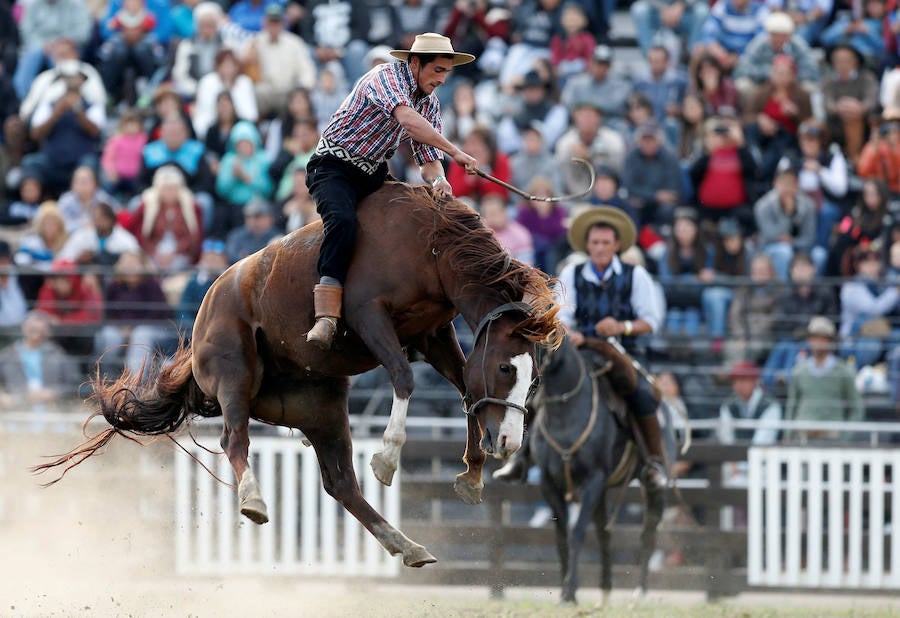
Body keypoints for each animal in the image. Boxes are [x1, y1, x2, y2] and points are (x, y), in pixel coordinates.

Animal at [35, 182, 562, 569]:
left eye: (533, 378)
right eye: (505, 366)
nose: (509, 442)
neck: (428, 245)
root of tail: (208, 304)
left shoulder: (433, 333)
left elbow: (464, 391)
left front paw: (471, 473)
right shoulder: (370, 316)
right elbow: (404, 379)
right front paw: (389, 457)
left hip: (321, 408)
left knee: (341, 483)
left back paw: (405, 544)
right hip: (235, 376)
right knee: (235, 440)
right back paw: (254, 500)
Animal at [530, 336, 666, 603]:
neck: (566, 415)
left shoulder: (593, 479)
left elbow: (577, 533)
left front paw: (571, 591)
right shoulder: (550, 483)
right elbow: (561, 538)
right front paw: (563, 591)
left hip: (650, 487)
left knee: (648, 533)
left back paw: (640, 591)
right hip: (601, 493)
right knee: (605, 534)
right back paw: (605, 590)